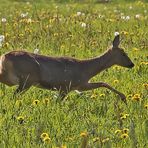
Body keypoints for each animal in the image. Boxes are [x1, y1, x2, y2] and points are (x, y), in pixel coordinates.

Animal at [0, 35, 134, 103]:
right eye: (123, 53)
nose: (132, 64)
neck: (87, 69)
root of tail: (4, 56)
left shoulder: (80, 85)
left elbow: (102, 83)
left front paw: (123, 97)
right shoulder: (67, 86)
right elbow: (103, 82)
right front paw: (123, 97)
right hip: (26, 80)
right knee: (14, 95)